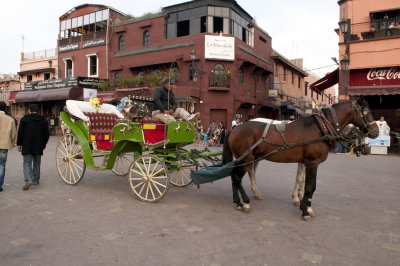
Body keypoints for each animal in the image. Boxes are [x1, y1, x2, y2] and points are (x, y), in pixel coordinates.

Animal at [223, 97, 380, 220]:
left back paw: (238, 202)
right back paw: (246, 202)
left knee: (234, 176)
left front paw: (302, 203)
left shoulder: (306, 163)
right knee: (238, 177)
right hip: (245, 159)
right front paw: (306, 210)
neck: (320, 128)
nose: (376, 132)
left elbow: (304, 183)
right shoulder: (312, 163)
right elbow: (310, 186)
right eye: (367, 112)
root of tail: (235, 129)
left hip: (245, 159)